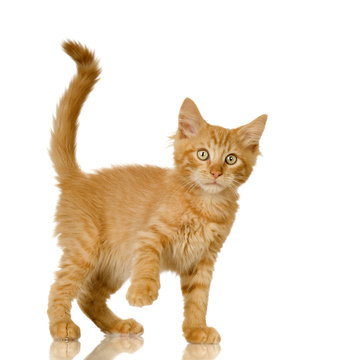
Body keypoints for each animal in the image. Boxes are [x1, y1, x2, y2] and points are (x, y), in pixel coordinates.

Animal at [47, 40, 268, 344]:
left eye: (231, 159)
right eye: (203, 154)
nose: (215, 172)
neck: (205, 204)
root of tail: (78, 178)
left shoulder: (204, 259)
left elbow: (199, 299)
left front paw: (196, 330)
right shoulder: (149, 235)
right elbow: (148, 263)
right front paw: (142, 292)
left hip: (113, 265)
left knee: (88, 297)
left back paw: (118, 326)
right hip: (85, 246)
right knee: (60, 287)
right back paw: (61, 326)